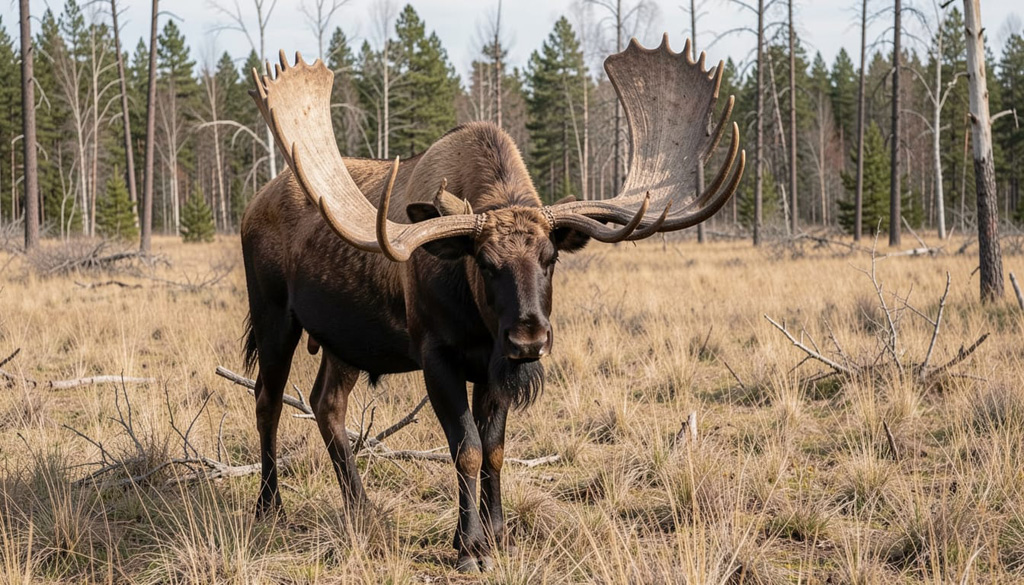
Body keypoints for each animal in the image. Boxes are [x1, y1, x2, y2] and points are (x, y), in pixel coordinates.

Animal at [241, 35, 743, 573]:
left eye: (550, 258)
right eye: (483, 262)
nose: (529, 338)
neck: (477, 319)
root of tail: (251, 206)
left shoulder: (492, 365)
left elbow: (496, 449)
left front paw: (497, 534)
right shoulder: (436, 356)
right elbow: (466, 448)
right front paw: (469, 546)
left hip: (344, 343)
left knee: (326, 404)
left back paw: (364, 510)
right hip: (274, 316)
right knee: (267, 400)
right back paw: (269, 506)